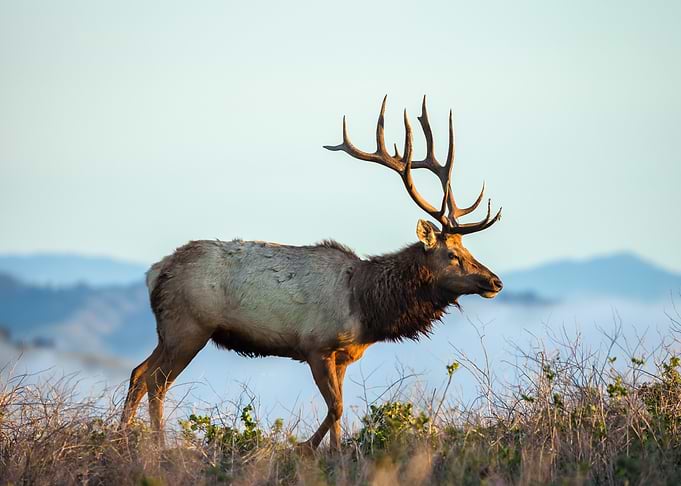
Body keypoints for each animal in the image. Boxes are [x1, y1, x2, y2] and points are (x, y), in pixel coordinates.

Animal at [120, 96, 503, 451]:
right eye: (453, 255)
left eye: (469, 250)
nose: (494, 281)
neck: (365, 305)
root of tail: (156, 272)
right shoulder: (316, 345)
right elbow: (336, 408)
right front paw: (305, 448)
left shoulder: (345, 356)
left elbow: (339, 412)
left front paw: (335, 453)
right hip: (189, 326)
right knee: (156, 381)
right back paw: (159, 446)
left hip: (168, 330)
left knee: (138, 373)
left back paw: (123, 435)